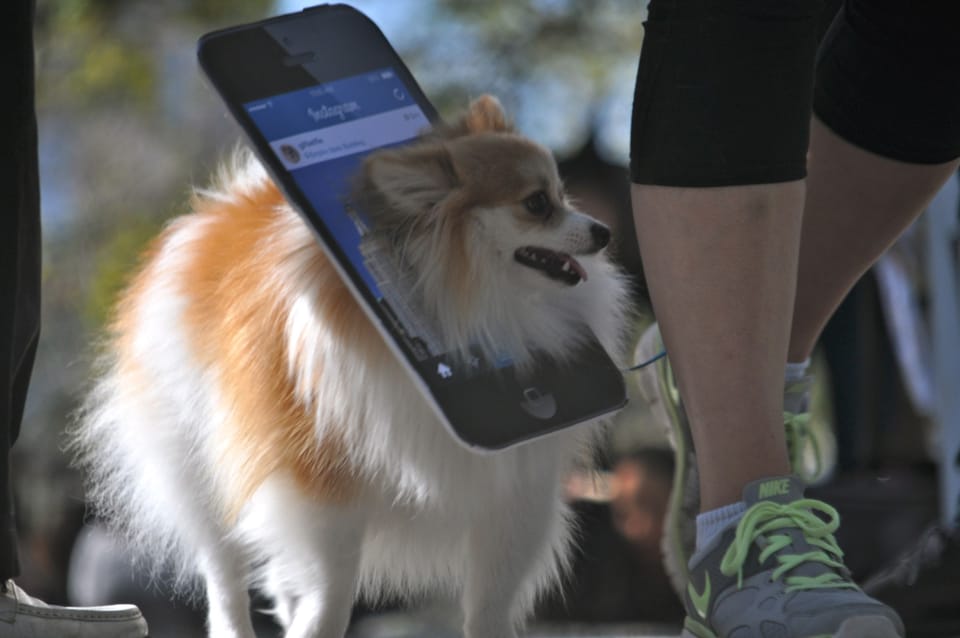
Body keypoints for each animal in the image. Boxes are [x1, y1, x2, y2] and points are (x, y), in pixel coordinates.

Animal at [73, 96, 632, 638]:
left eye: (564, 194)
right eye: (538, 203)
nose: (604, 232)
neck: (476, 308)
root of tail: (226, 206)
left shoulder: (515, 492)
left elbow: (490, 604)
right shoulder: (320, 480)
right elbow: (332, 585)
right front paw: (314, 625)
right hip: (200, 463)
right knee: (224, 569)